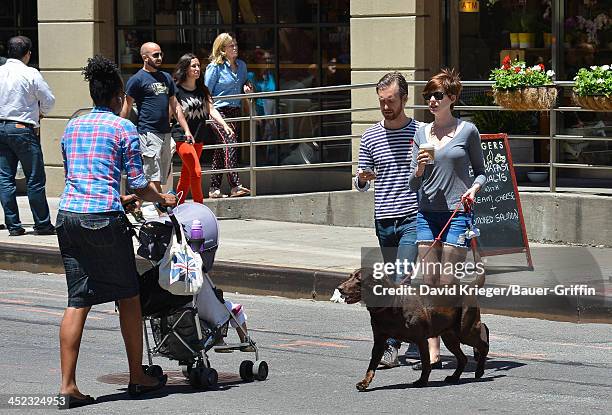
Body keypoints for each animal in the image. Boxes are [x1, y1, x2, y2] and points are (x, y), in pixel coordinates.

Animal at [338, 268, 490, 392]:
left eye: (359, 279)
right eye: (350, 276)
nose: (339, 288)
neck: (390, 306)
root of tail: (468, 287)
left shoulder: (421, 340)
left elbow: (426, 364)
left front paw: (422, 381)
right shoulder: (379, 342)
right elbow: (371, 366)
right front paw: (364, 383)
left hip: (464, 330)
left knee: (483, 341)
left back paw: (480, 371)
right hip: (450, 336)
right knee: (463, 358)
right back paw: (454, 377)